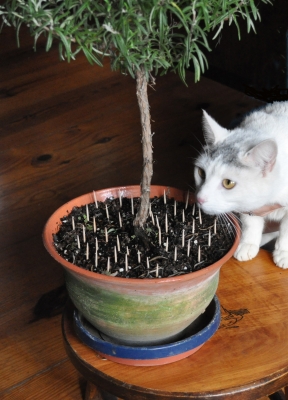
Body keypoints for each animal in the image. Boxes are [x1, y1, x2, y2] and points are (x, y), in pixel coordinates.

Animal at [192, 101, 288, 268]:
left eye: (228, 183)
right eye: (201, 173)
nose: (199, 198)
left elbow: (286, 232)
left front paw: (283, 253)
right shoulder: (248, 207)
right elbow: (251, 223)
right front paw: (248, 244)